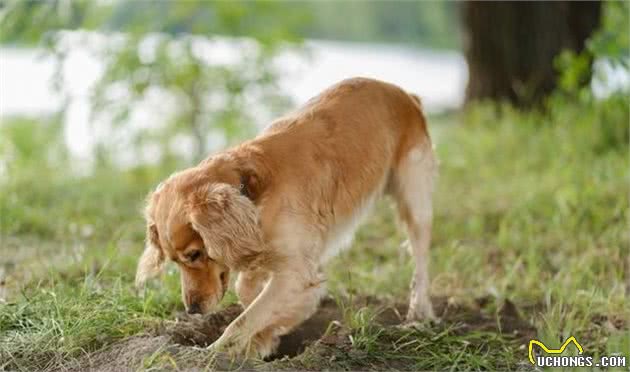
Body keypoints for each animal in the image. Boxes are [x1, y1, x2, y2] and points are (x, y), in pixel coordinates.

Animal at [136, 77, 436, 358]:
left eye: (195, 255)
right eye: (175, 261)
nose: (192, 310)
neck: (251, 193)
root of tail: (404, 94)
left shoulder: (294, 270)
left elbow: (243, 320)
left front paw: (216, 352)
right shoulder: (261, 249)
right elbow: (248, 292)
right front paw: (268, 336)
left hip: (415, 200)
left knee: (421, 262)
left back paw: (418, 313)